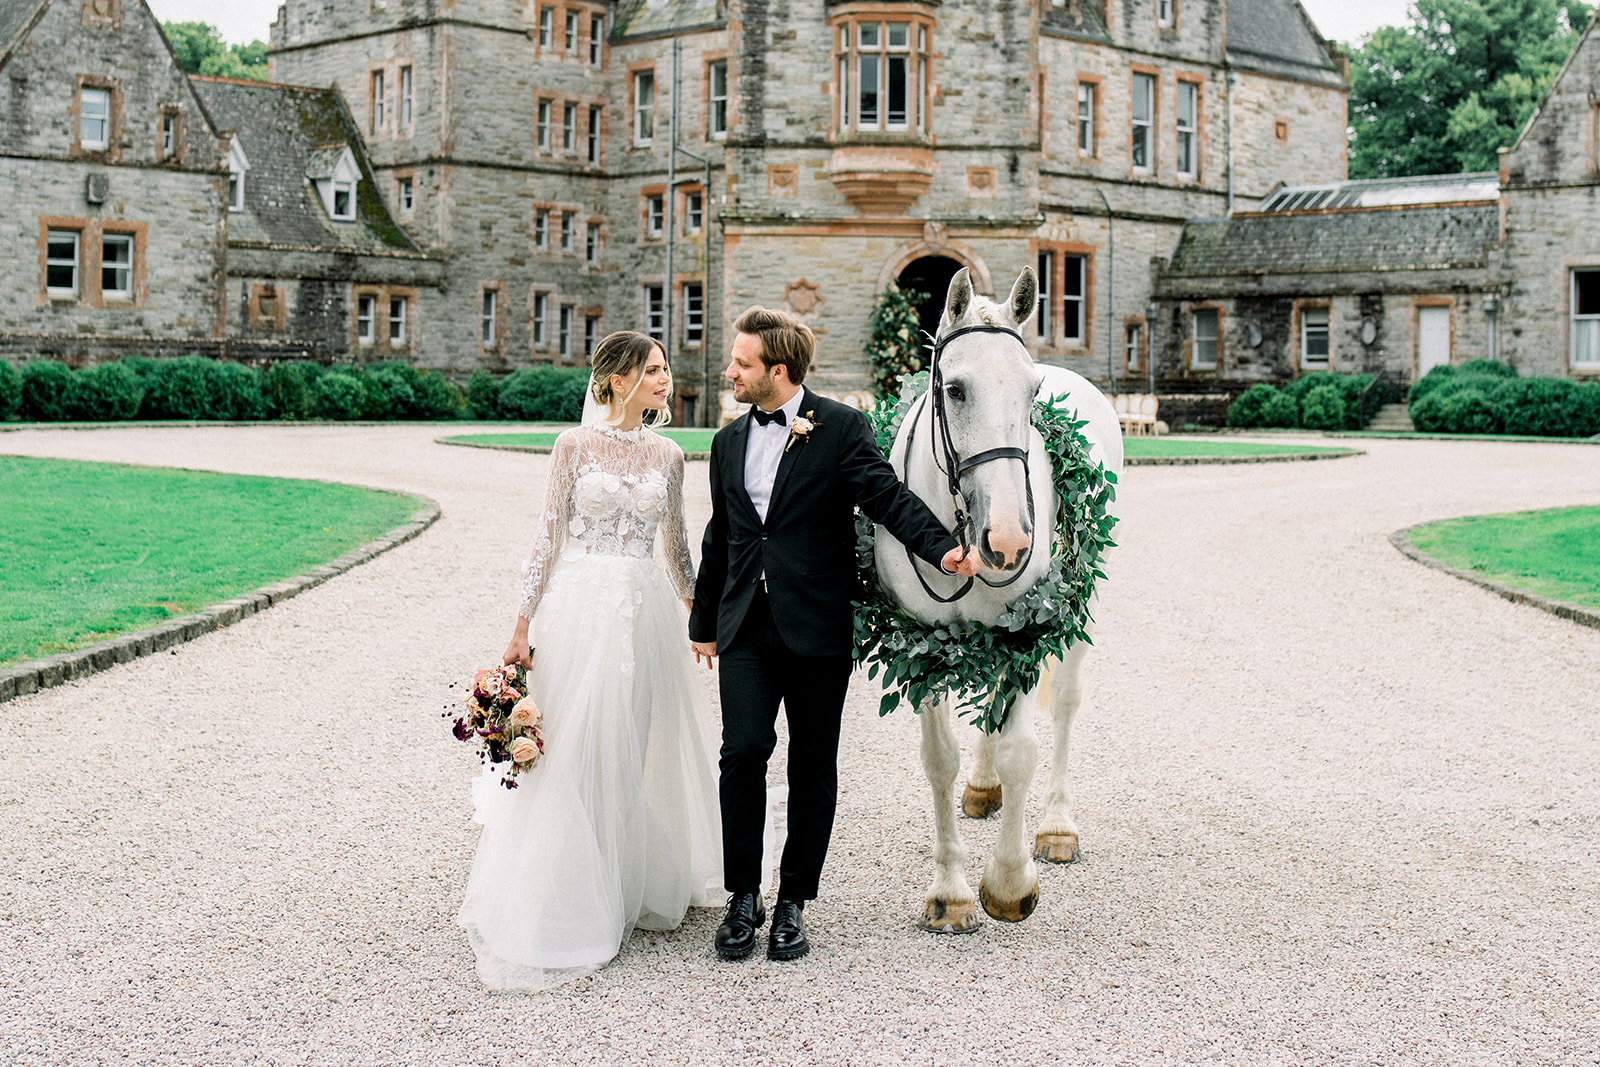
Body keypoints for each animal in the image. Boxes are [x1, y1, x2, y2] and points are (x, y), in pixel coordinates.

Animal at [876, 268, 1126, 934]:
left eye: (1030, 392)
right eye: (955, 389)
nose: (1010, 540)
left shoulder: (1026, 633)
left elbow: (1022, 751)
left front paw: (1010, 881)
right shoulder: (922, 644)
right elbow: (939, 758)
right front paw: (951, 891)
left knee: (1063, 704)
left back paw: (1057, 823)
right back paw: (983, 788)